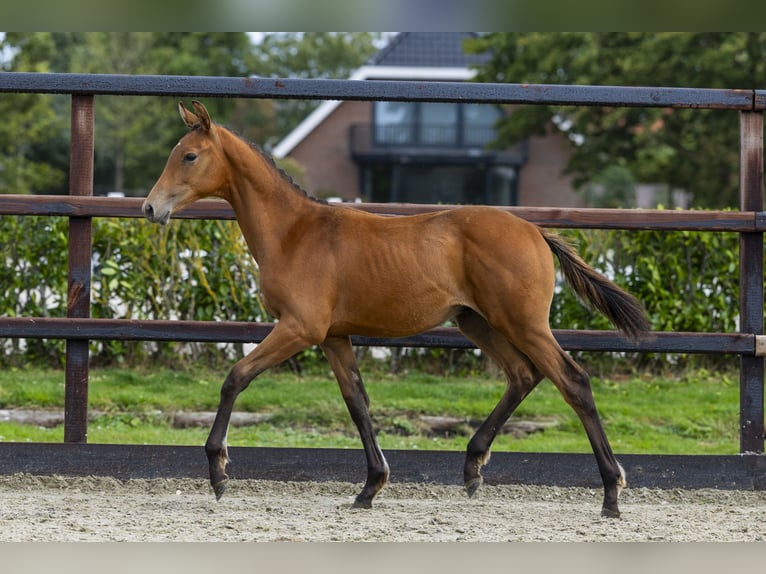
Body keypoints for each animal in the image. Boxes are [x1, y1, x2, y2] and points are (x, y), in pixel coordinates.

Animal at [142, 101, 650, 518]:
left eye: (189, 156)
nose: (149, 208)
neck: (295, 233)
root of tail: (536, 232)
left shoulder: (300, 328)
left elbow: (235, 377)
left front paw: (219, 472)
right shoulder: (333, 336)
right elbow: (357, 402)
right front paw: (371, 487)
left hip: (522, 323)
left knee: (573, 382)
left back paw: (611, 493)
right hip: (477, 322)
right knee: (523, 375)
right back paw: (473, 468)